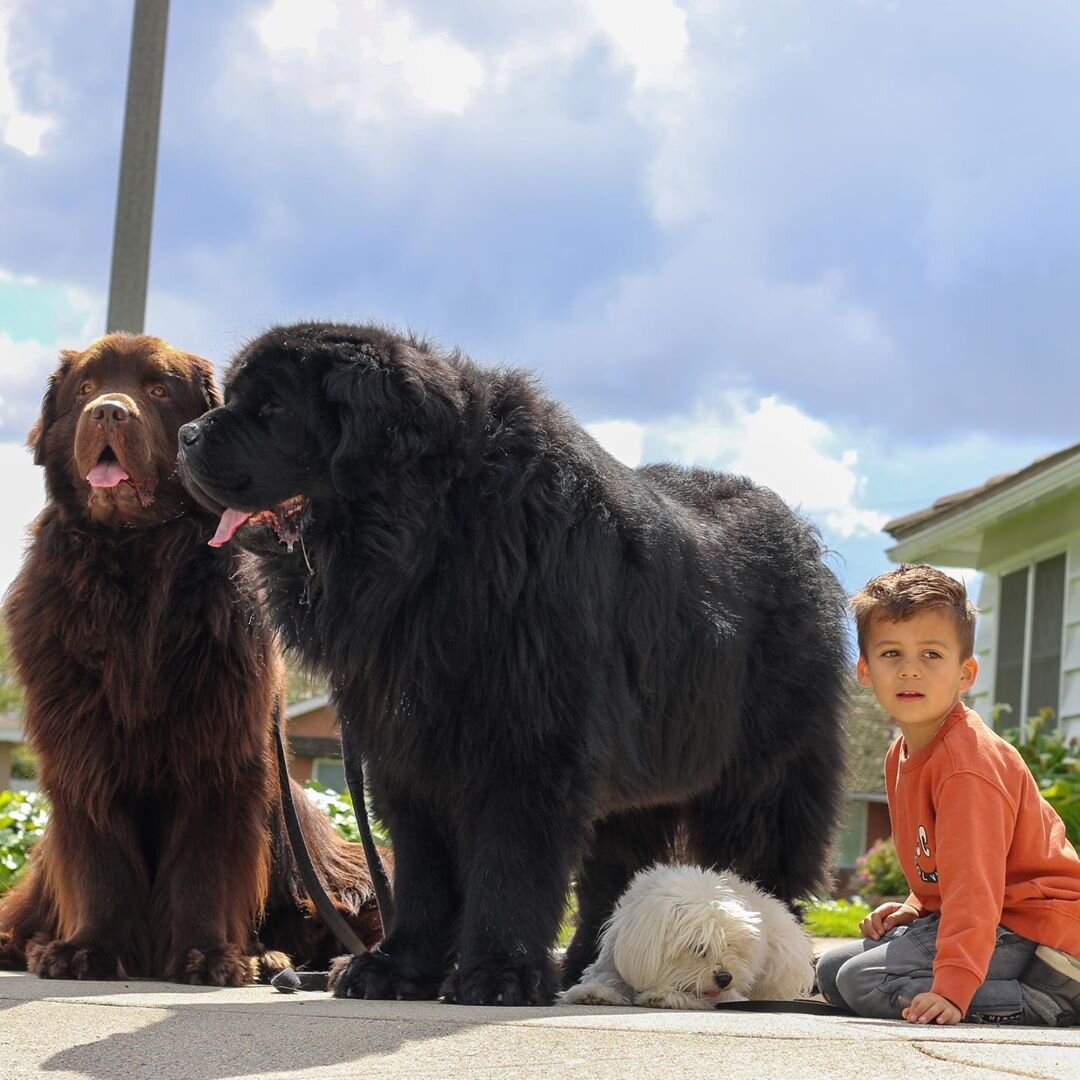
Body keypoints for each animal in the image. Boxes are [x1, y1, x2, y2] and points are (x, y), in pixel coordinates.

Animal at [0, 332, 386, 984]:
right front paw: (86, 950)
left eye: (157, 390)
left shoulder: (222, 749)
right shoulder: (81, 750)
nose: (108, 411)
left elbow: (206, 862)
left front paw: (211, 955)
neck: (135, 559)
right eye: (85, 388)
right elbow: (99, 859)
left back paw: (274, 954)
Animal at [561, 859, 812, 1010]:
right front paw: (597, 991)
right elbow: (608, 976)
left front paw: (665, 996)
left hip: (783, 953)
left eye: (731, 946)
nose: (725, 978)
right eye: (698, 947)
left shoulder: (726, 994)